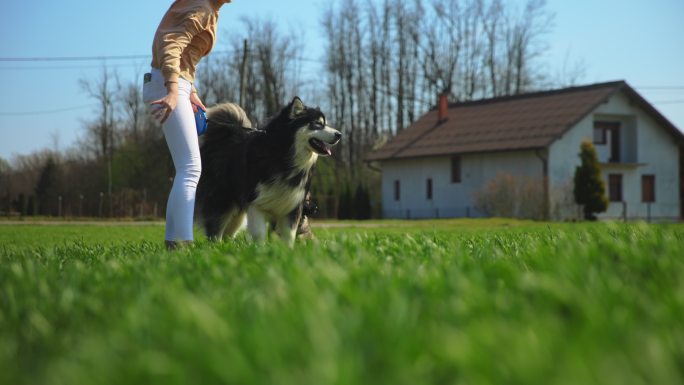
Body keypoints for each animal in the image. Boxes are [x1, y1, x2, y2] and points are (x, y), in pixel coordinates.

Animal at [195, 97, 340, 244]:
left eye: (325, 124)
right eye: (318, 124)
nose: (339, 134)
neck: (285, 157)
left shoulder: (292, 205)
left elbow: (289, 236)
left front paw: (286, 249)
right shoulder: (256, 203)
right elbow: (259, 233)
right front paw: (260, 248)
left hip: (238, 214)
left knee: (228, 232)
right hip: (221, 202)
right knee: (215, 230)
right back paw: (215, 246)